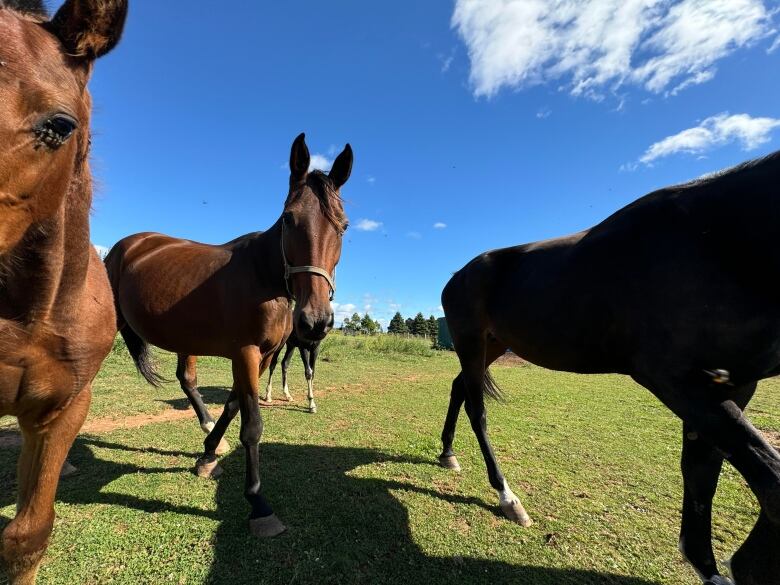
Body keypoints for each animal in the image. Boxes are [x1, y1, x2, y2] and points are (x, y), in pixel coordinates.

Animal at [438, 149, 780, 584]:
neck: (712, 236)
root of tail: (457, 276)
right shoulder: (674, 381)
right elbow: (770, 480)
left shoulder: (733, 386)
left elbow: (703, 472)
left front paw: (711, 567)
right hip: (471, 342)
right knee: (477, 409)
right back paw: (508, 497)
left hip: (491, 345)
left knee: (459, 388)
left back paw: (447, 453)